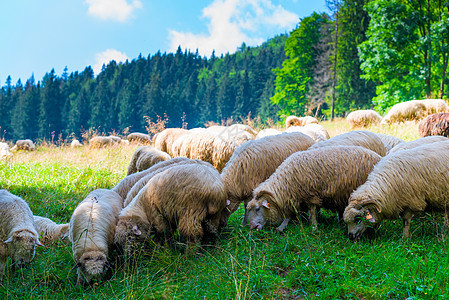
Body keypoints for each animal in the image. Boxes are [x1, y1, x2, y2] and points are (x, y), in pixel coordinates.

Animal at [247, 146, 380, 231]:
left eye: (258, 209)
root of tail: (378, 156)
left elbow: (313, 210)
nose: (251, 227)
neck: (286, 182)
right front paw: (282, 227)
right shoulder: (293, 196)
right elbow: (290, 213)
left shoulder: (310, 194)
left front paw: (314, 226)